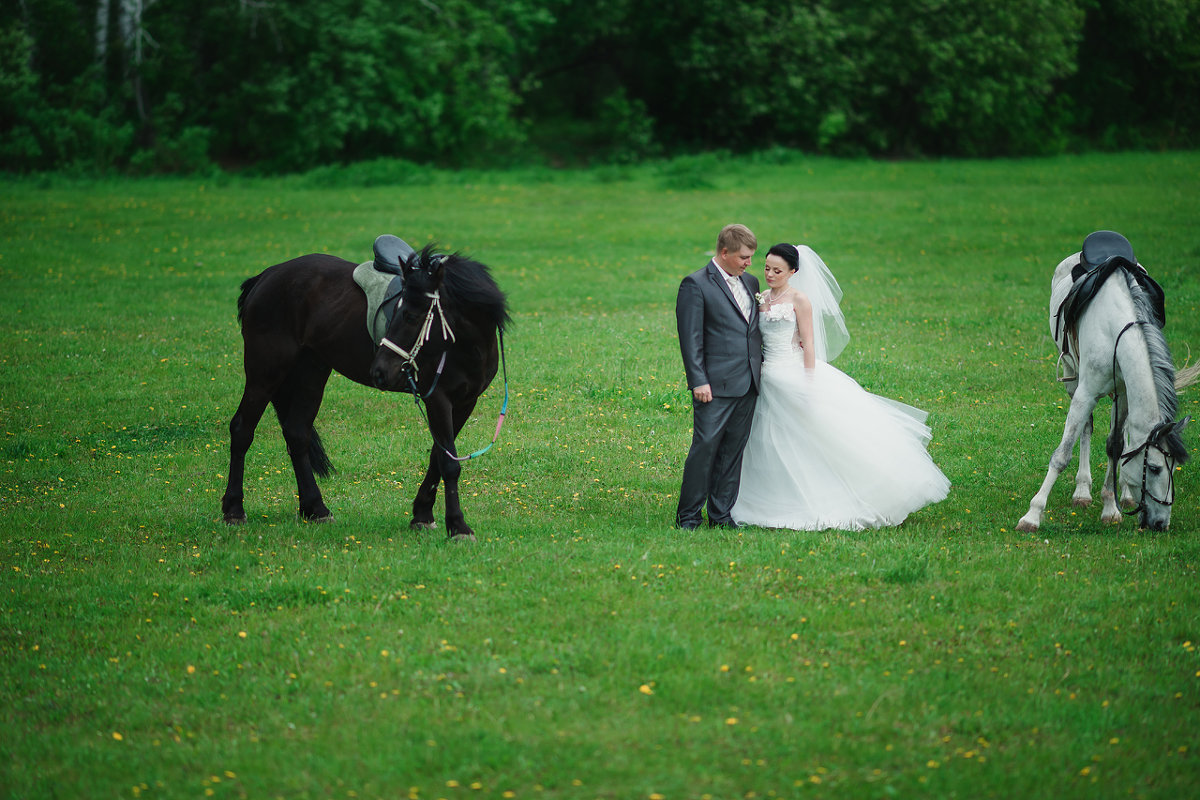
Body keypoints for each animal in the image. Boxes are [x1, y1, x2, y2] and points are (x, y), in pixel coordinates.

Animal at [223, 247, 508, 542]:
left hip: (311, 372)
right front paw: (457, 525)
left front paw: (422, 514)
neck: (465, 346)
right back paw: (234, 509)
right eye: (398, 312)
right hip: (264, 371)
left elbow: (437, 459)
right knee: (242, 429)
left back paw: (315, 508)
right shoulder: (437, 400)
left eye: (411, 316)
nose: (379, 371)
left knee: (297, 433)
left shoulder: (465, 402)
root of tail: (266, 276)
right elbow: (449, 464)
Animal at [1017, 235, 1195, 532]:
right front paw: (1032, 515)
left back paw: (1124, 493)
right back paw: (1082, 491)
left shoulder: (1123, 393)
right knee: (1086, 429)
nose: (1161, 524)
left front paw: (1111, 507)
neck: (1117, 329)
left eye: (1172, 467)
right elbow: (1062, 454)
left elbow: (1116, 446)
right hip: (1073, 377)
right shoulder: (1085, 394)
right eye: (1155, 468)